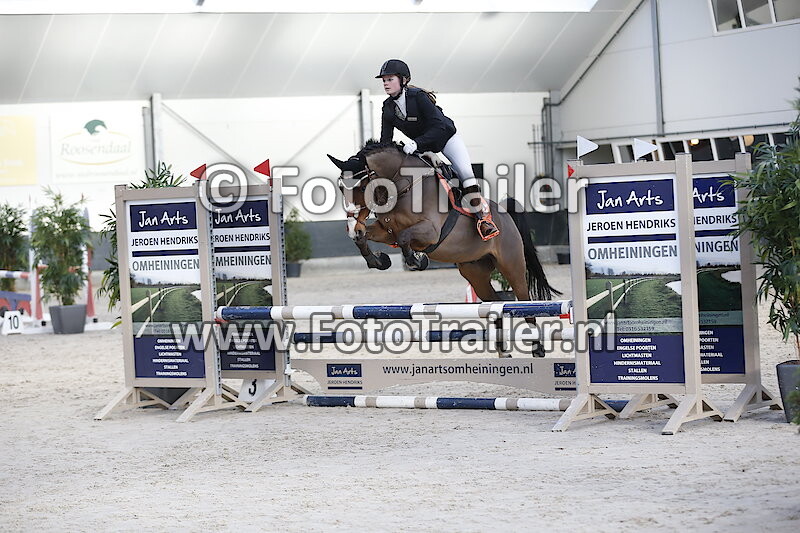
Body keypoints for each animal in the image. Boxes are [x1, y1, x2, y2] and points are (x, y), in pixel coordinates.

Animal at [327, 141, 560, 303]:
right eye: (340, 187)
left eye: (360, 187)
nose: (353, 227)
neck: (403, 185)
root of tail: (506, 215)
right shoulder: (386, 231)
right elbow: (366, 238)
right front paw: (377, 260)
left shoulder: (430, 231)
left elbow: (404, 238)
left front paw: (417, 260)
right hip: (475, 271)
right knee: (494, 303)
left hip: (512, 266)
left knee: (523, 300)